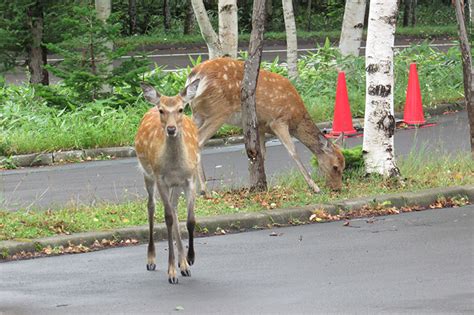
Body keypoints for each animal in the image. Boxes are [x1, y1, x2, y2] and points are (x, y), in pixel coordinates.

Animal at [134, 82, 201, 286]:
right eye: (162, 110)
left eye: (181, 109)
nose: (171, 129)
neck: (174, 166)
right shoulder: (161, 179)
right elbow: (168, 219)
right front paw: (171, 272)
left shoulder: (189, 179)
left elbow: (190, 219)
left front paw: (190, 258)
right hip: (147, 174)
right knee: (151, 206)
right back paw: (151, 259)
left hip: (176, 185)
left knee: (174, 208)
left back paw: (183, 265)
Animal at [181, 57, 344, 195]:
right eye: (335, 167)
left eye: (343, 166)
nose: (337, 188)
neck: (296, 118)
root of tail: (194, 75)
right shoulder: (278, 120)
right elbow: (293, 151)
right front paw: (314, 187)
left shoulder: (260, 125)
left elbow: (261, 153)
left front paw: (261, 185)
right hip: (218, 110)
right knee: (199, 141)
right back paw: (204, 190)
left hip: (198, 113)